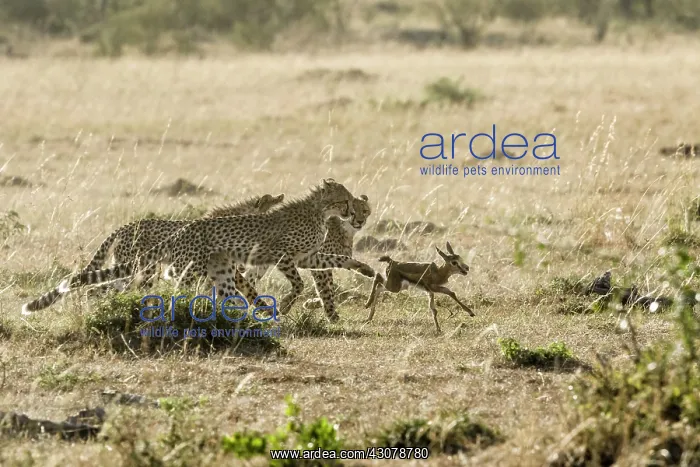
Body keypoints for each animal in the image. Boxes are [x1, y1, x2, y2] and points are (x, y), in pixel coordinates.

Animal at [22, 179, 376, 316]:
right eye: (344, 200)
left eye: (357, 205)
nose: (353, 216)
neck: (320, 212)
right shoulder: (284, 256)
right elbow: (297, 285)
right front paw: (280, 306)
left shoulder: (307, 256)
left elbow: (335, 260)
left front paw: (367, 269)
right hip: (173, 270)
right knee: (168, 289)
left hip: (209, 270)